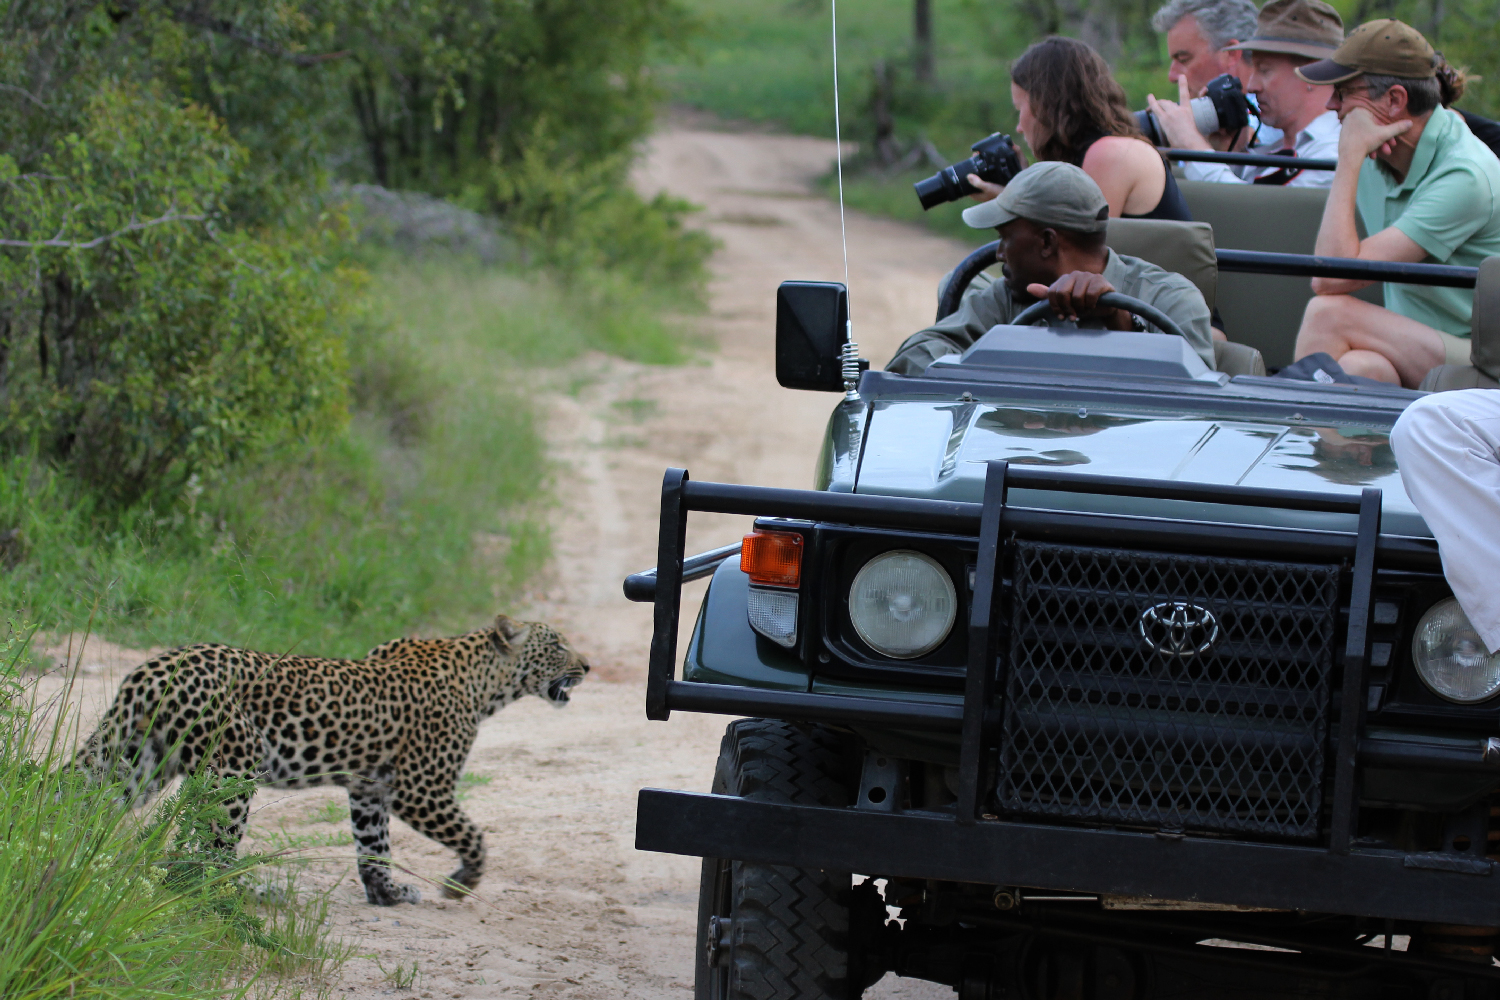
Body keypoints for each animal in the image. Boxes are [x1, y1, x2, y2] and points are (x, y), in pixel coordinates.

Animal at [77, 614, 585, 905]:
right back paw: (252, 893)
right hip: (234, 765)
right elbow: (474, 836)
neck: (486, 684)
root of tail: (153, 668)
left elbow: (374, 846)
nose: (588, 666)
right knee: (211, 855)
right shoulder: (422, 790)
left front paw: (387, 893)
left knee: (81, 799)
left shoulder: (370, 787)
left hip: (137, 760)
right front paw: (462, 882)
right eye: (558, 645)